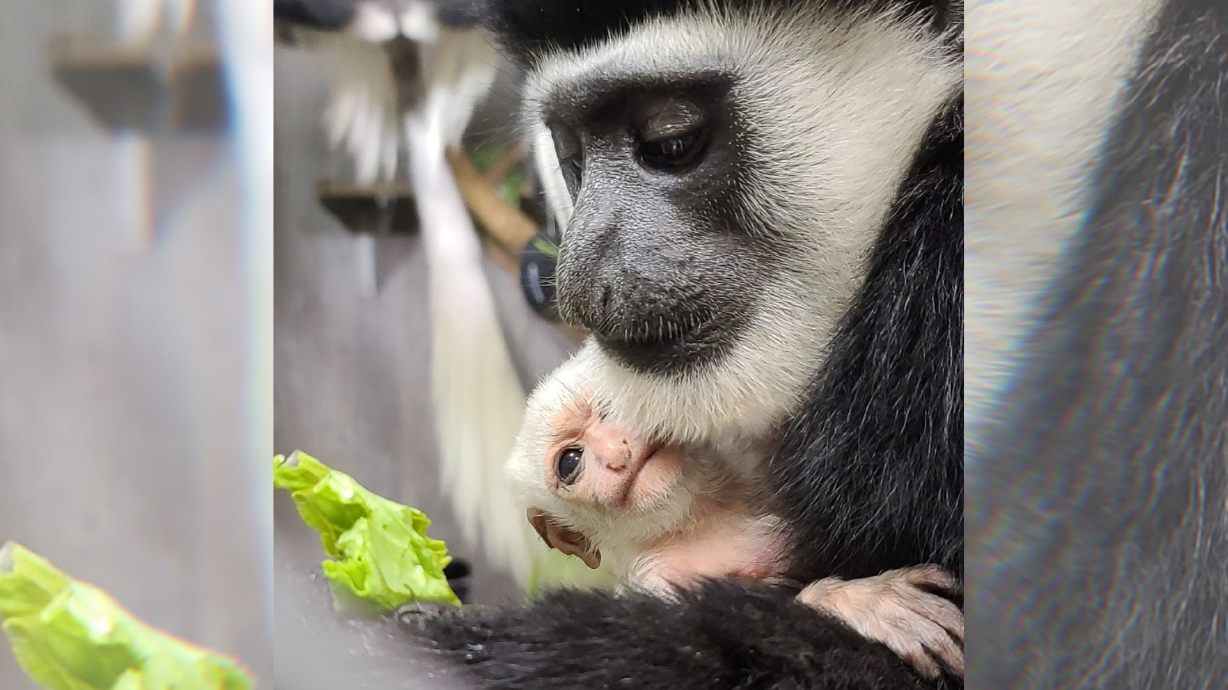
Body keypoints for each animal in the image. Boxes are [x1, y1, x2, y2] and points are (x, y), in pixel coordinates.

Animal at [502, 344, 964, 680]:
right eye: (571, 462)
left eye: (612, 410)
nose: (619, 452)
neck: (697, 516)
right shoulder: (656, 582)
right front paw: (860, 603)